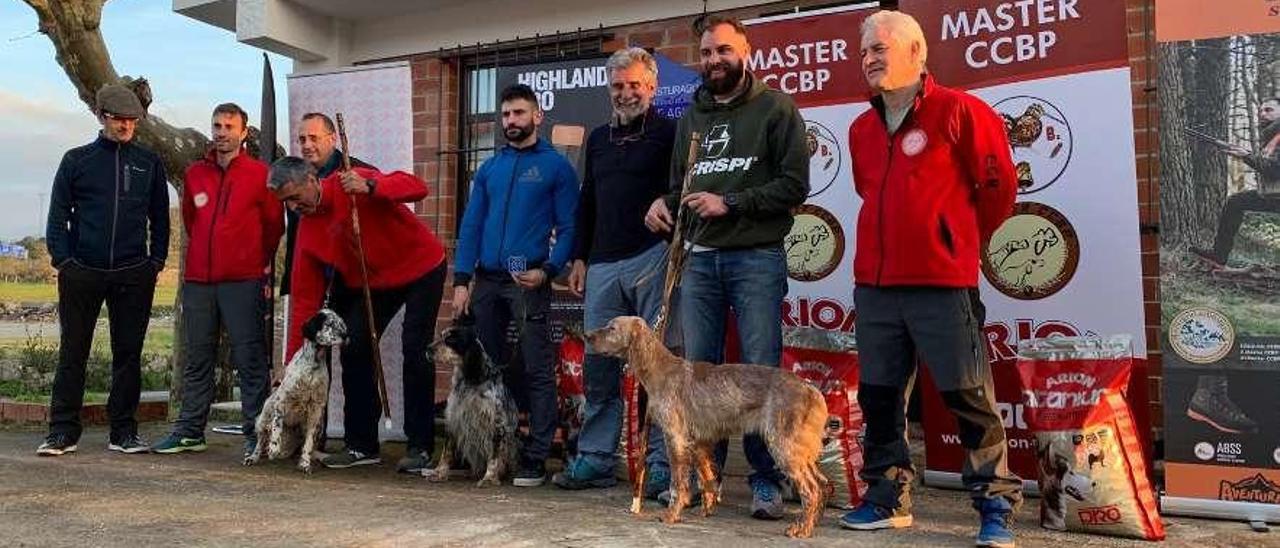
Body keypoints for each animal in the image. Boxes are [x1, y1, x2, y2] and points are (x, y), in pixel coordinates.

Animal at [422, 314, 517, 486]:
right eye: (441, 335)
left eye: (450, 340)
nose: (428, 349)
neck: (470, 381)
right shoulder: (453, 419)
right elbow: (446, 452)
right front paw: (439, 473)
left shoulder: (496, 423)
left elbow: (494, 456)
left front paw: (489, 478)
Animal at [586, 314, 829, 537]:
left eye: (612, 328)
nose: (587, 336)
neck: (660, 369)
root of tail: (810, 388)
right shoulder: (699, 443)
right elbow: (707, 479)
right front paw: (706, 509)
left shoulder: (675, 438)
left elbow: (678, 484)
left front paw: (671, 514)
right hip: (800, 451)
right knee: (822, 485)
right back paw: (812, 523)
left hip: (783, 446)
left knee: (812, 490)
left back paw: (801, 529)